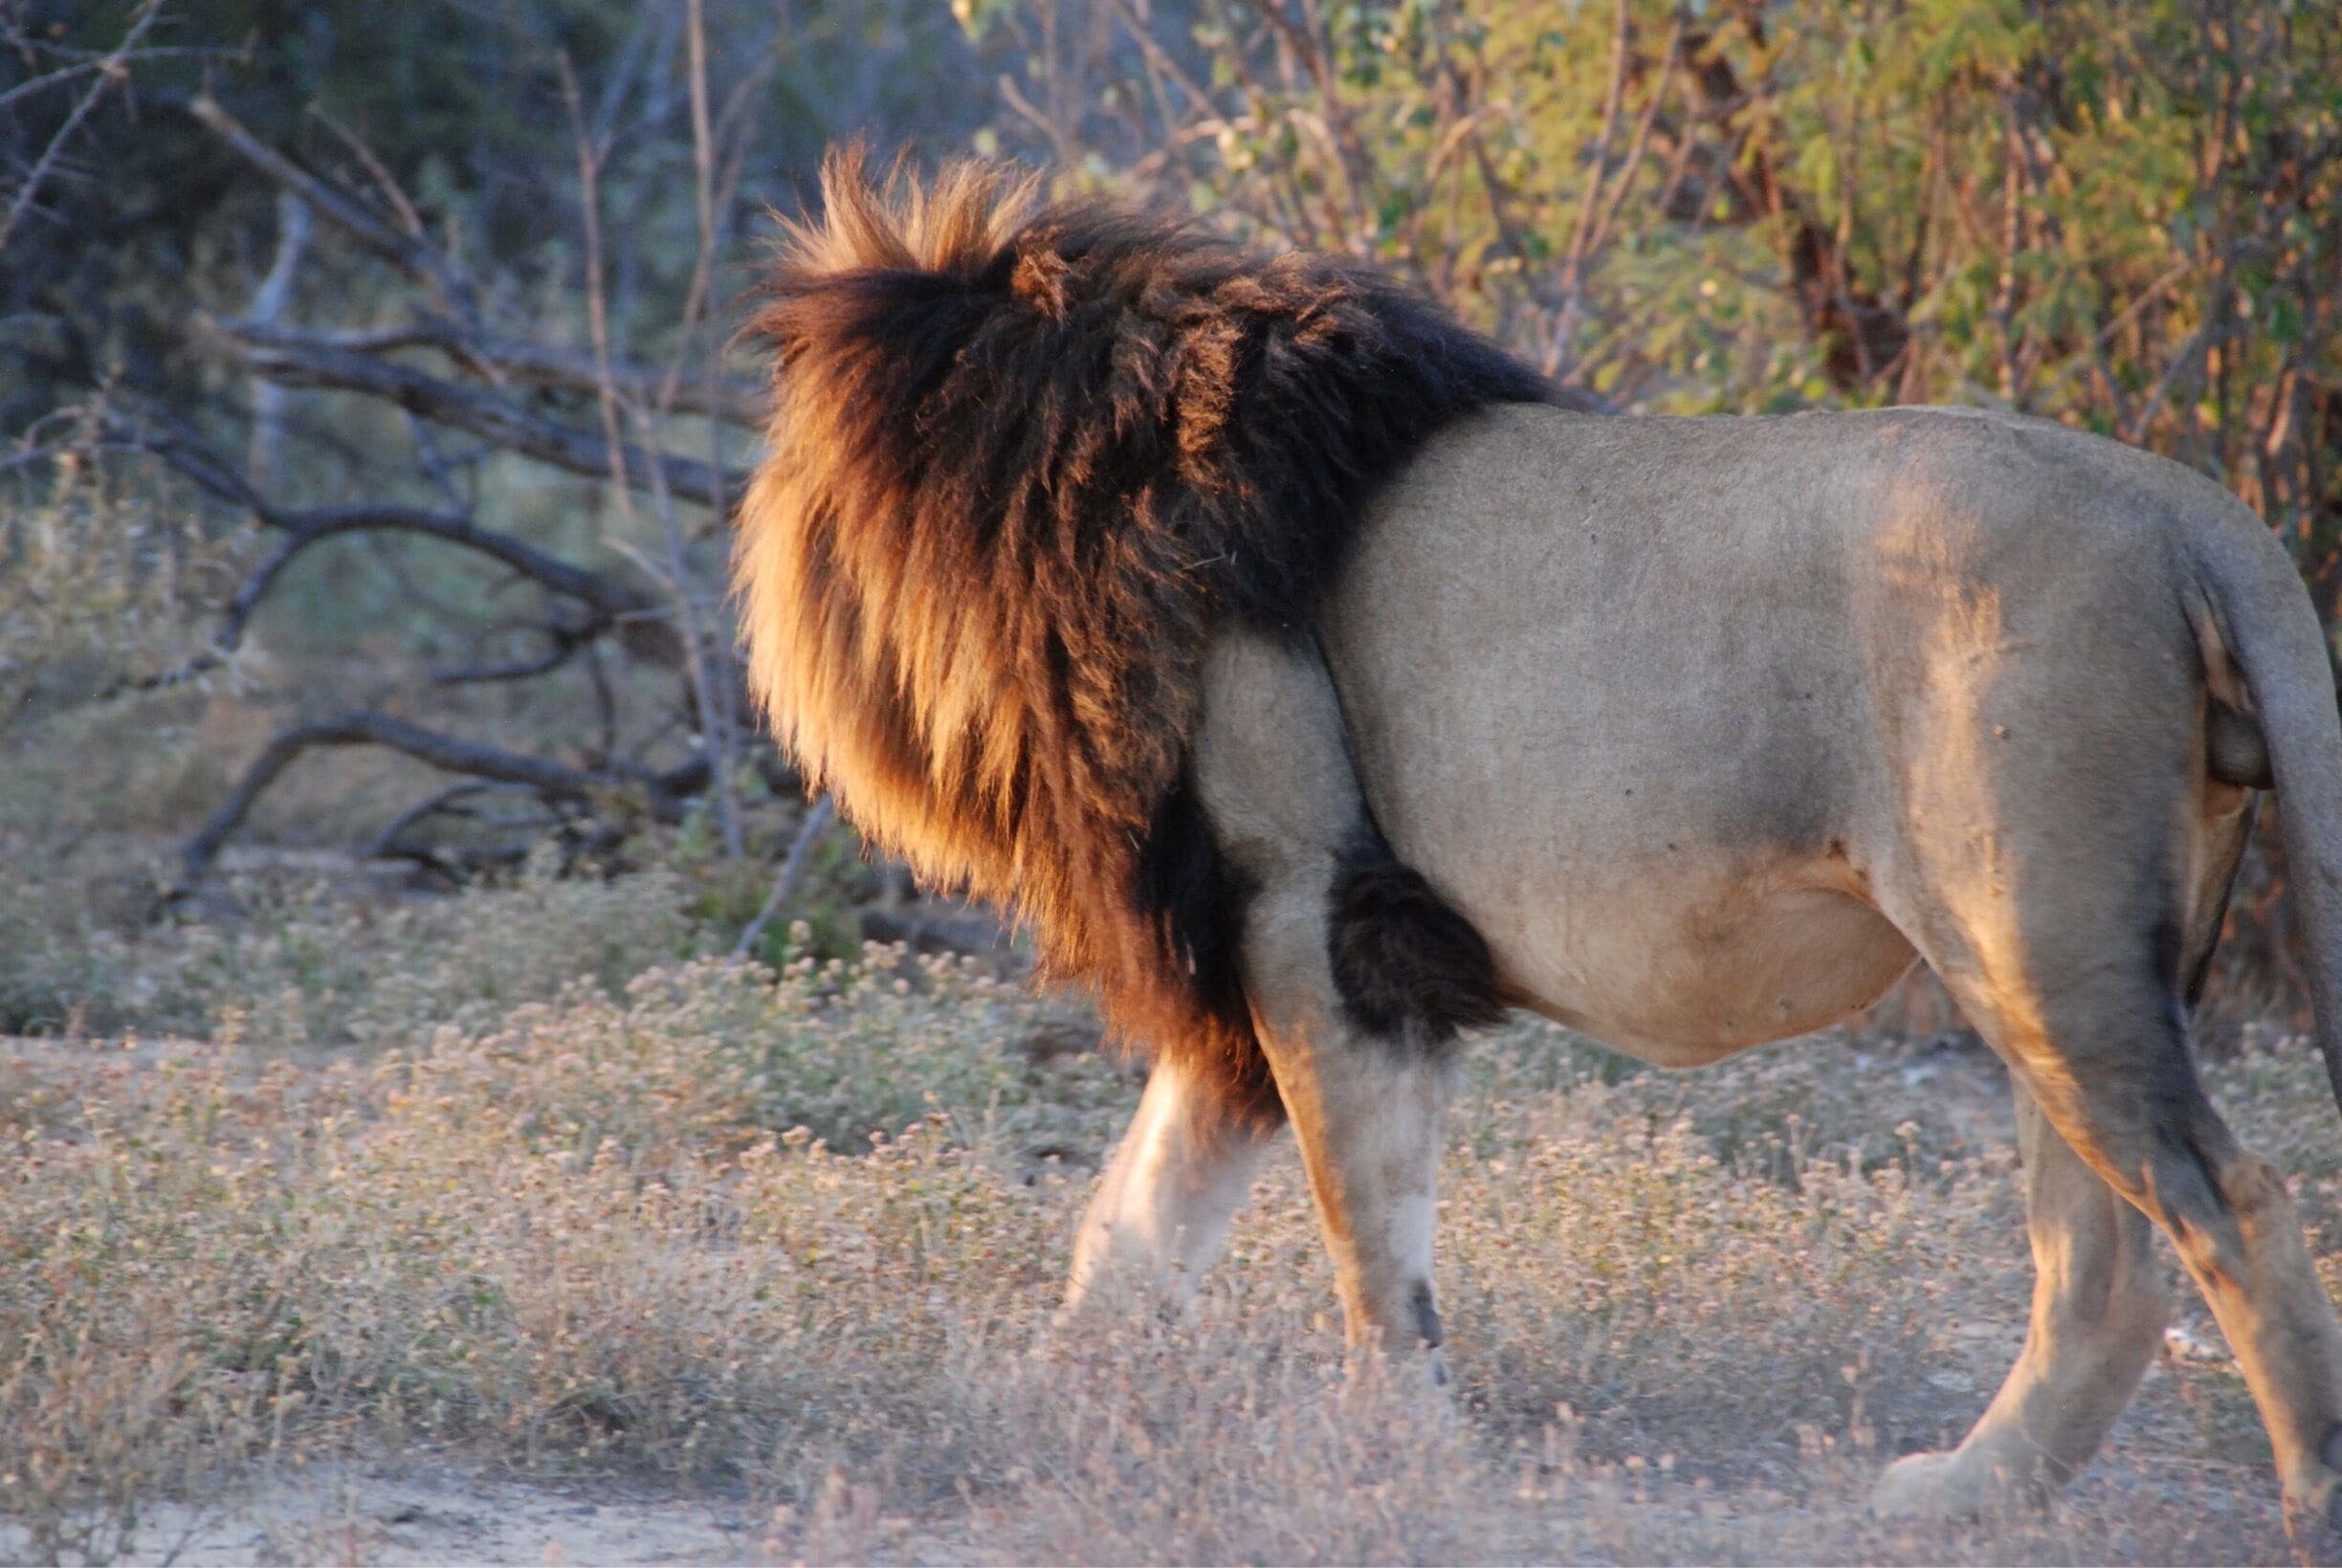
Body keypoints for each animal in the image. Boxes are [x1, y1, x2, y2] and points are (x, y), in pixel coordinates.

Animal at [735, 149, 2342, 1540]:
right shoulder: (1243, 958)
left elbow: (1368, 1236)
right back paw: (1963, 1494)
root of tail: (2186, 508)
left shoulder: (1314, 911)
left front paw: (1401, 1457)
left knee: (2240, 1214)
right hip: (2066, 963)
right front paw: (1044, 1412)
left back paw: (2296, 1499)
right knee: (2105, 1265)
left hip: (2038, 944)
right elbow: (1134, 1227)